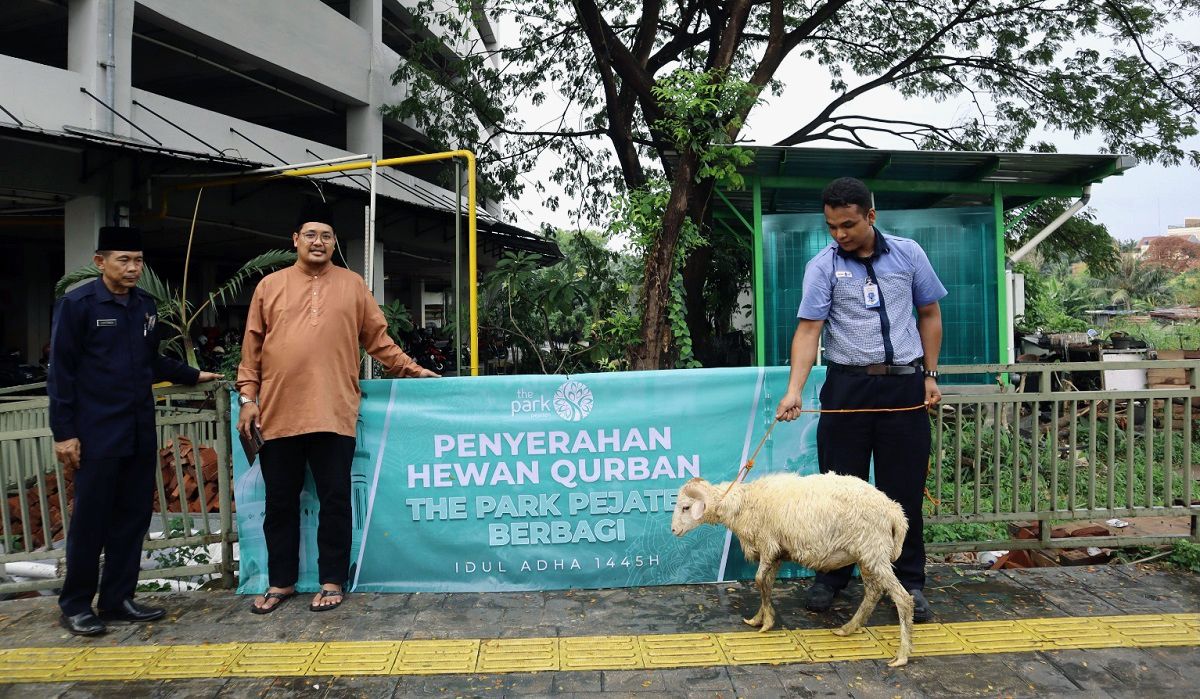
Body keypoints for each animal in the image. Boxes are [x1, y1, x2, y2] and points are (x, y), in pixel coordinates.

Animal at [672, 473, 912, 672]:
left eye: (685, 507)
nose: (674, 530)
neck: (744, 503)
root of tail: (895, 511)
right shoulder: (777, 553)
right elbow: (766, 583)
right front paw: (759, 618)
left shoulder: (768, 544)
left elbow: (759, 580)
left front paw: (766, 623)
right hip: (867, 555)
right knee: (873, 592)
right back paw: (848, 628)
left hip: (874, 551)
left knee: (903, 599)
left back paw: (902, 655)